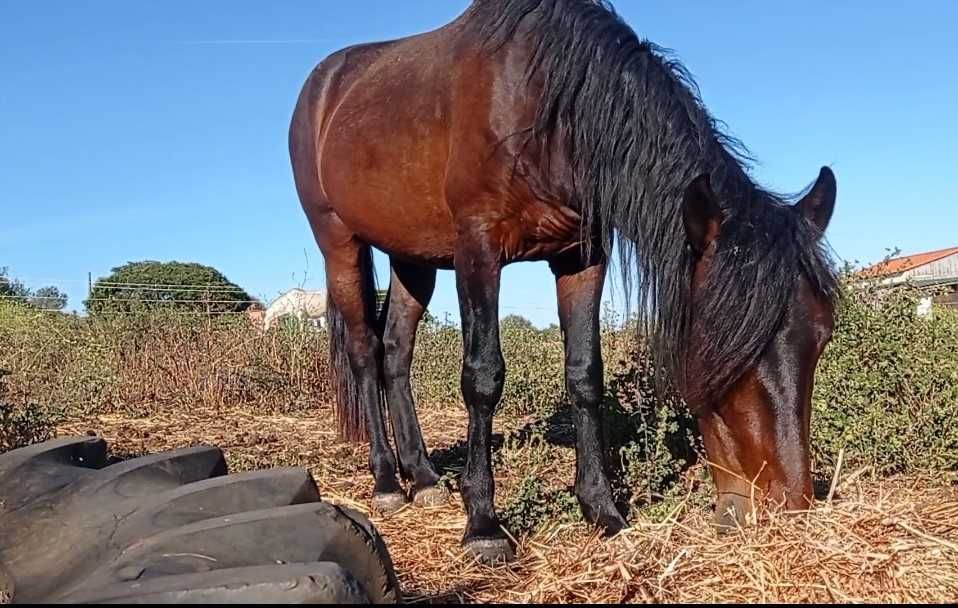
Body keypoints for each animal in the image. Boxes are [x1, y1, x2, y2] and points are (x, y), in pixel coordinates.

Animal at [289, 0, 839, 564]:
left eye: (822, 337)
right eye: (722, 343)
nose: (791, 504)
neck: (546, 108)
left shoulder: (582, 258)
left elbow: (585, 375)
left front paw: (603, 511)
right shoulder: (478, 251)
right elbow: (482, 377)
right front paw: (483, 524)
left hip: (413, 256)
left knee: (396, 352)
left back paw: (421, 478)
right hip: (340, 243)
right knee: (364, 351)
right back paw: (386, 482)